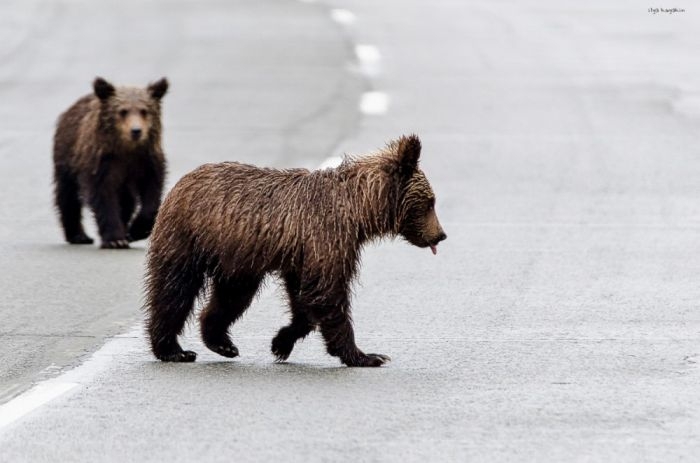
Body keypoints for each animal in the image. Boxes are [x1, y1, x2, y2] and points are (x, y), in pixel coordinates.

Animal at [52, 77, 170, 250]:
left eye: (144, 111)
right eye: (123, 111)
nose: (136, 131)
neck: (127, 149)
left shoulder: (146, 161)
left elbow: (151, 193)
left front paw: (134, 231)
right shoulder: (102, 162)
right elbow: (104, 196)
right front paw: (115, 239)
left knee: (127, 200)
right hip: (67, 156)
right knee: (68, 194)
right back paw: (78, 235)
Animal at [145, 136, 446, 368]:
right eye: (430, 202)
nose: (440, 235)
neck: (358, 211)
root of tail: (181, 182)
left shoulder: (302, 254)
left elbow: (306, 299)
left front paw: (280, 342)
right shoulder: (328, 239)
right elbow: (327, 294)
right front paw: (366, 356)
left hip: (237, 259)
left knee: (230, 297)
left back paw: (222, 343)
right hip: (187, 238)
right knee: (174, 290)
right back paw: (173, 349)